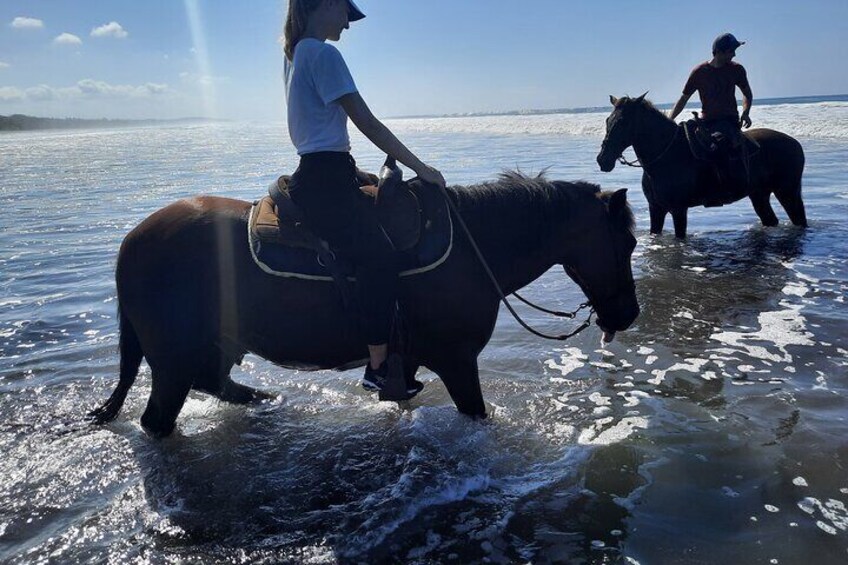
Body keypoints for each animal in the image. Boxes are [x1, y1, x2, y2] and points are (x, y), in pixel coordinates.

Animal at [89, 172, 640, 436]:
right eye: (629, 243)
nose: (629, 315)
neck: (473, 246)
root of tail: (130, 243)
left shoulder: (408, 361)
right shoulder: (458, 361)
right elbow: (476, 413)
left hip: (216, 345)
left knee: (214, 382)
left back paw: (263, 399)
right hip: (172, 360)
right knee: (159, 418)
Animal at [592, 94, 804, 238]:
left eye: (622, 122)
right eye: (608, 120)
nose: (603, 159)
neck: (665, 156)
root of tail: (795, 143)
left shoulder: (678, 210)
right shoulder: (656, 209)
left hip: (787, 192)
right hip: (759, 195)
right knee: (771, 220)